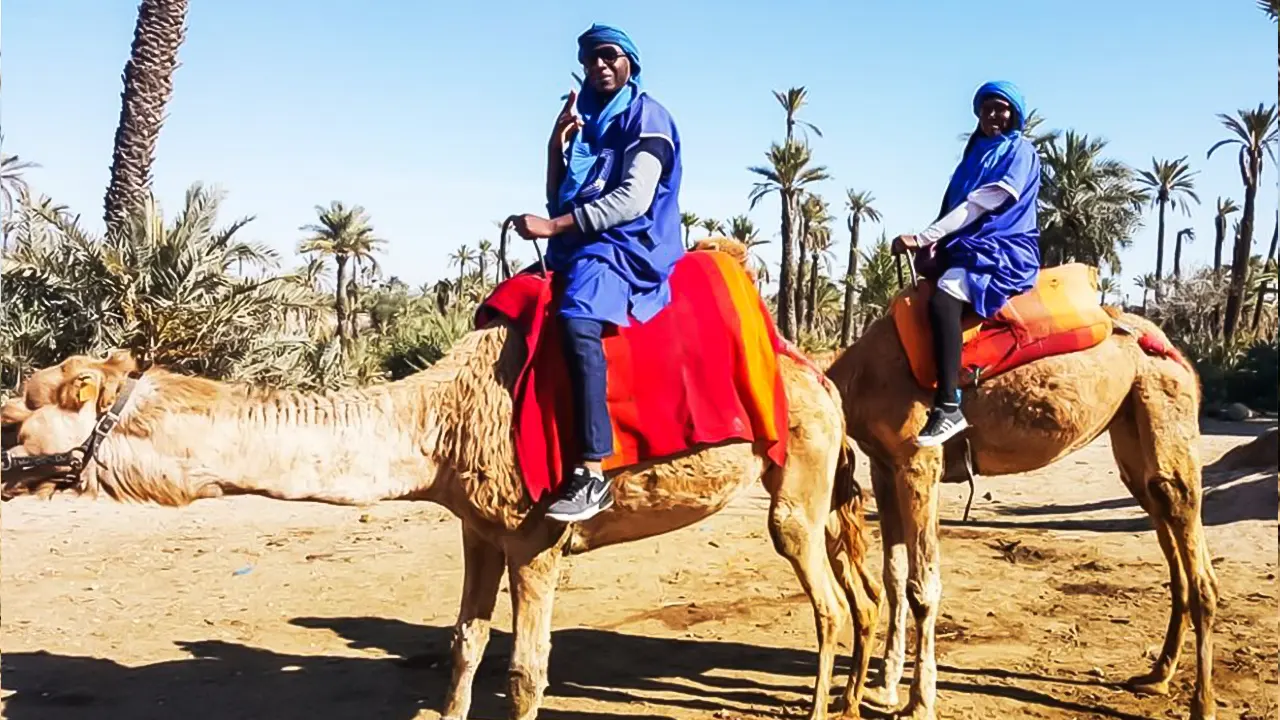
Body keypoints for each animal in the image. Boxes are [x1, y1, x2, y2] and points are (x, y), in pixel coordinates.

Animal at [0, 242, 880, 717]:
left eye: (23, 414)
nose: (8, 467)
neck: (440, 419)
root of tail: (820, 375)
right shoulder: (477, 529)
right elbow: (463, 644)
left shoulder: (537, 539)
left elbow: (525, 673)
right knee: (856, 589)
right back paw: (853, 698)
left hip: (796, 472)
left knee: (827, 600)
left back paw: (818, 709)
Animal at [824, 303, 1223, 717]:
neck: (858, 378)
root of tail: (1179, 355)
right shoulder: (884, 465)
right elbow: (895, 576)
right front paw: (883, 689)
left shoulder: (919, 460)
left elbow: (922, 587)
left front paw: (919, 703)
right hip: (1130, 429)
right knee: (1163, 522)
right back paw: (1156, 676)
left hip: (1166, 408)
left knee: (1191, 543)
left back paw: (1203, 703)